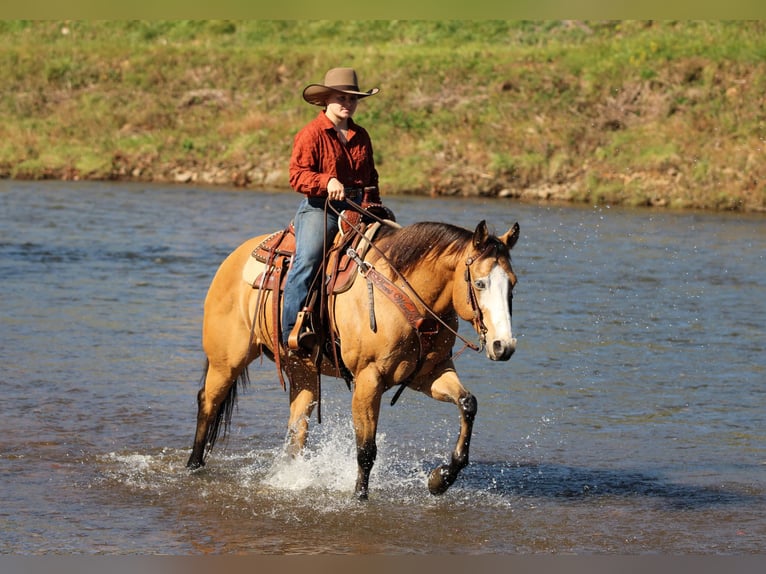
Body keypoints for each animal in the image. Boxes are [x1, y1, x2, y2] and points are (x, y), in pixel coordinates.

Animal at [186, 217, 520, 499]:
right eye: (480, 283)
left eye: (512, 284)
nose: (503, 346)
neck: (405, 293)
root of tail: (233, 258)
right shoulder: (368, 379)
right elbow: (366, 448)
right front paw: (359, 497)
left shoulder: (430, 373)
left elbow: (467, 404)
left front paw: (441, 479)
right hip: (226, 361)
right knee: (208, 403)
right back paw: (193, 465)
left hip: (301, 369)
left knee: (297, 429)